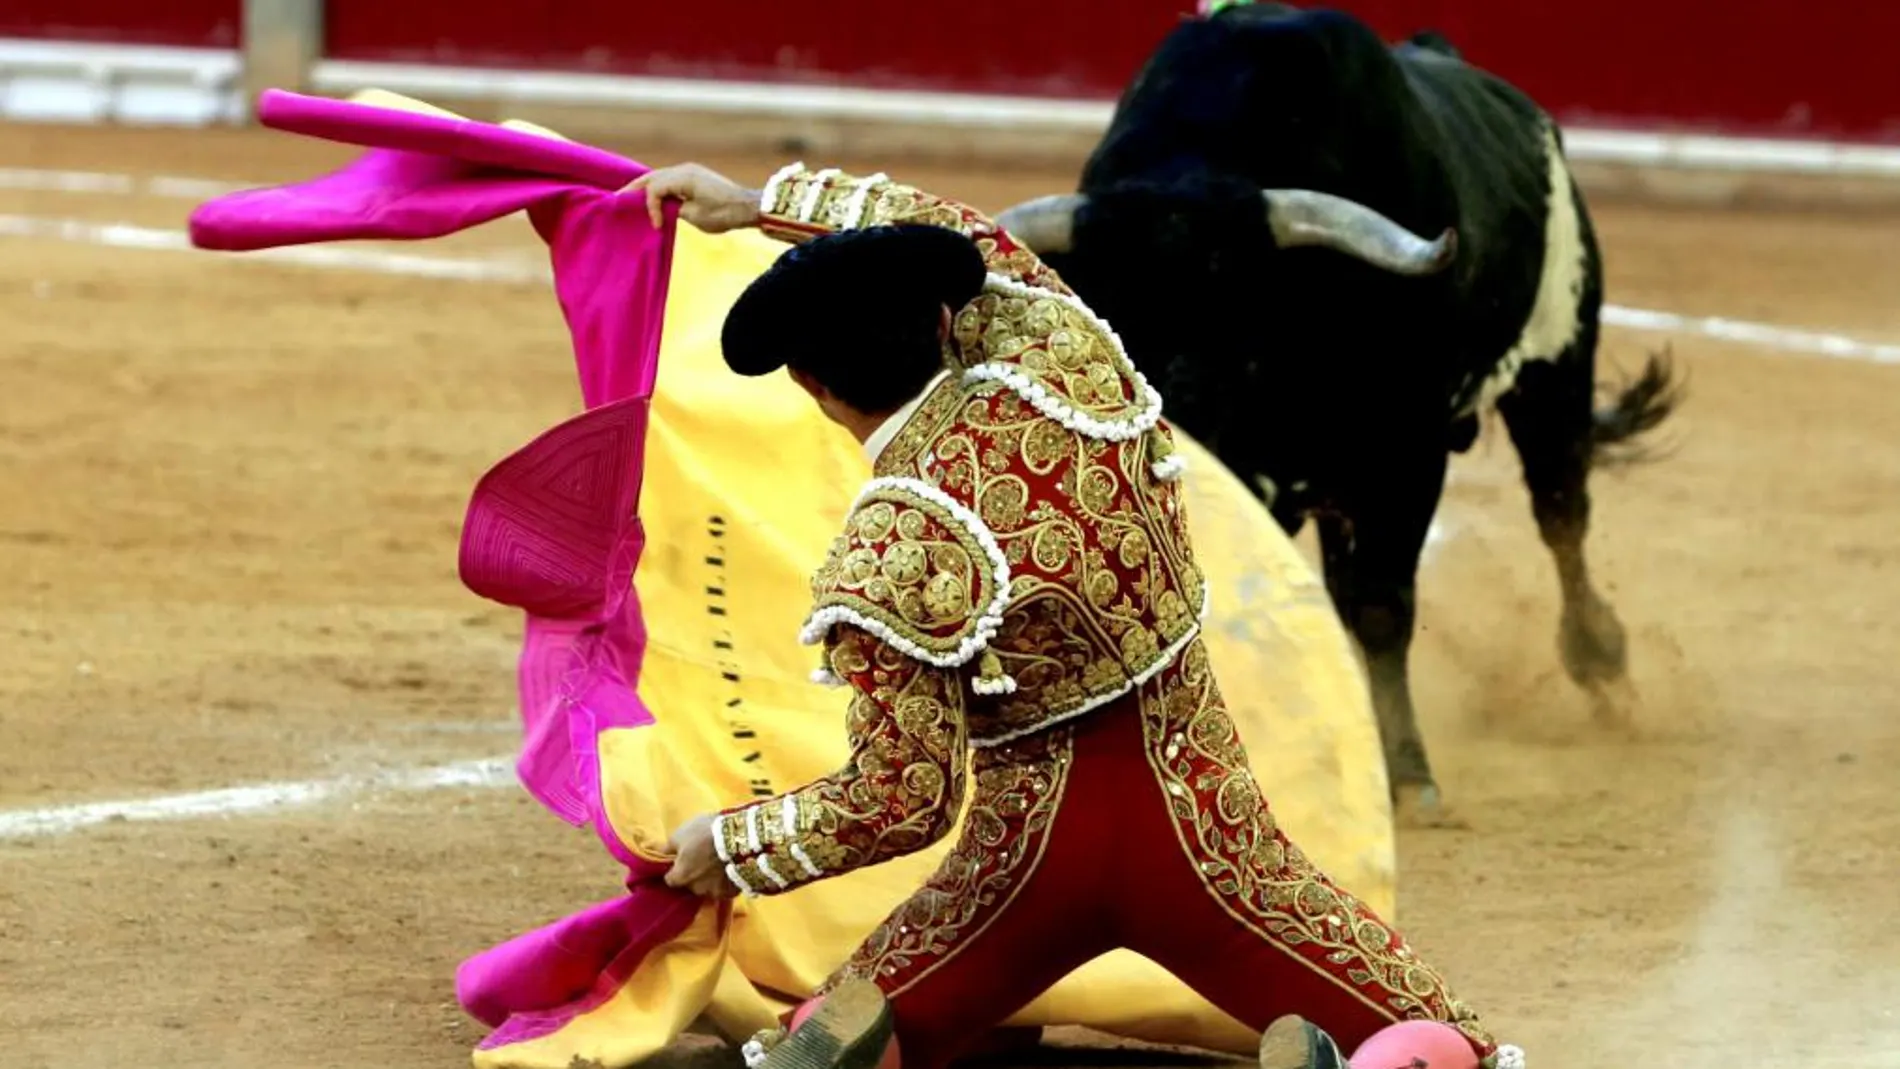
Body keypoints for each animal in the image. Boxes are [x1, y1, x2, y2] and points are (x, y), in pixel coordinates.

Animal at [995, 2, 1679, 827]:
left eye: (1241, 308)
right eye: (1115, 312)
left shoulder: (1404, 458)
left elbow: (1382, 605)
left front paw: (1411, 777)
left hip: (1556, 371)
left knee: (1560, 514)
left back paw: (1599, 655)